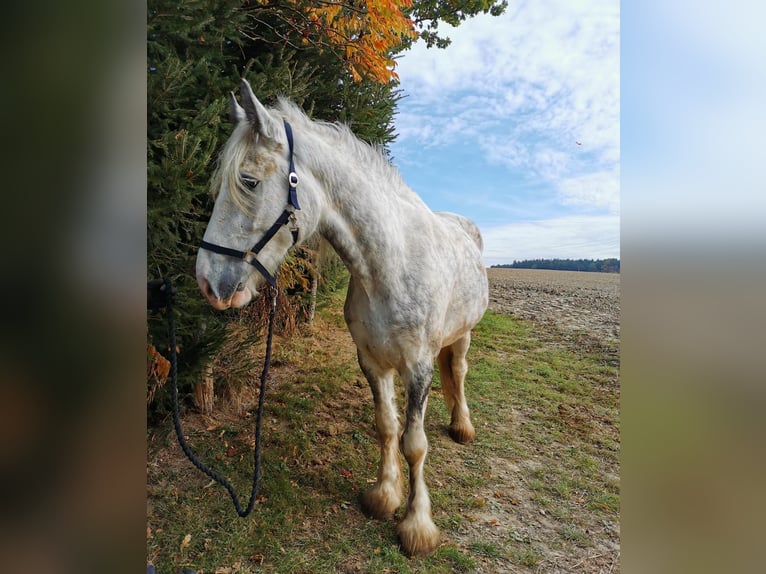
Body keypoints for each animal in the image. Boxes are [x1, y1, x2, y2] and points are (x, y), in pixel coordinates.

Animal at [195, 79, 489, 556]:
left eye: (249, 182)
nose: (207, 281)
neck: (390, 265)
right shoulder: (371, 361)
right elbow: (387, 427)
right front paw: (384, 496)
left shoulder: (418, 367)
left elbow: (414, 443)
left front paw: (417, 525)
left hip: (462, 334)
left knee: (459, 372)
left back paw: (462, 426)